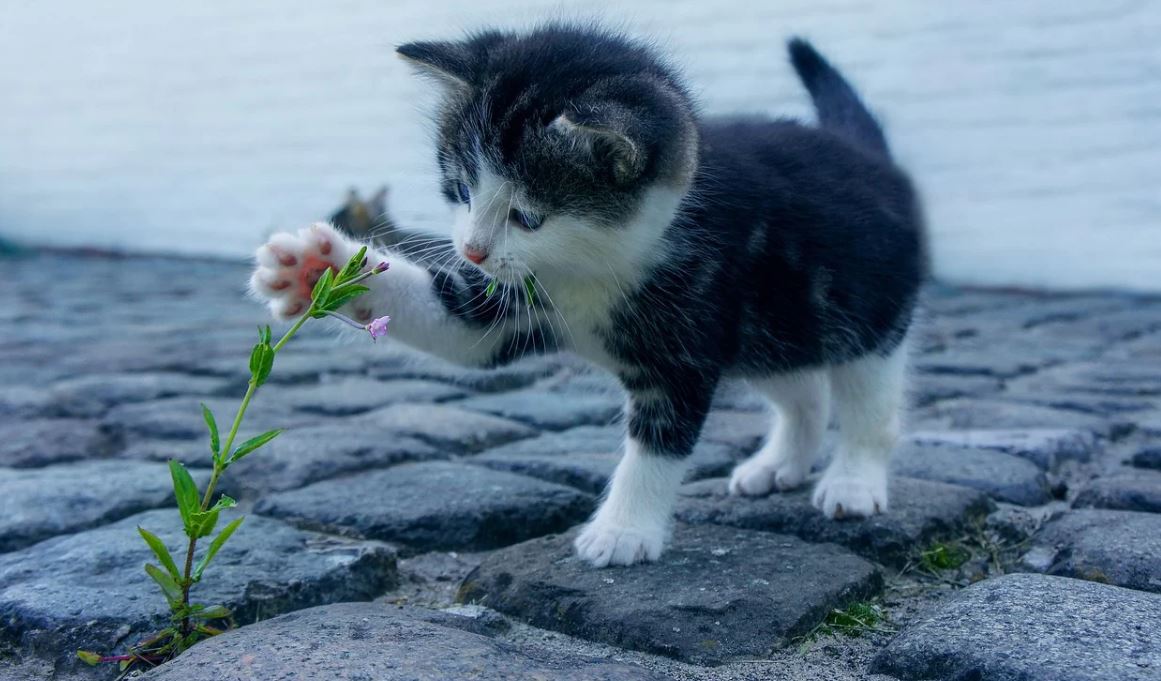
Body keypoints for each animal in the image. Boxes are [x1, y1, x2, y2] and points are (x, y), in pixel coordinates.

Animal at [251, 25, 924, 570]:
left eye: (527, 216)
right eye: (461, 189)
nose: (471, 250)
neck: (591, 266)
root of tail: (869, 155)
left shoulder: (687, 337)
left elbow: (658, 442)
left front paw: (623, 531)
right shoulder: (512, 302)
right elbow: (458, 326)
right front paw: (317, 269)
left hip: (866, 312)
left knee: (868, 403)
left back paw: (853, 481)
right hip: (772, 327)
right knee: (802, 389)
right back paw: (780, 463)